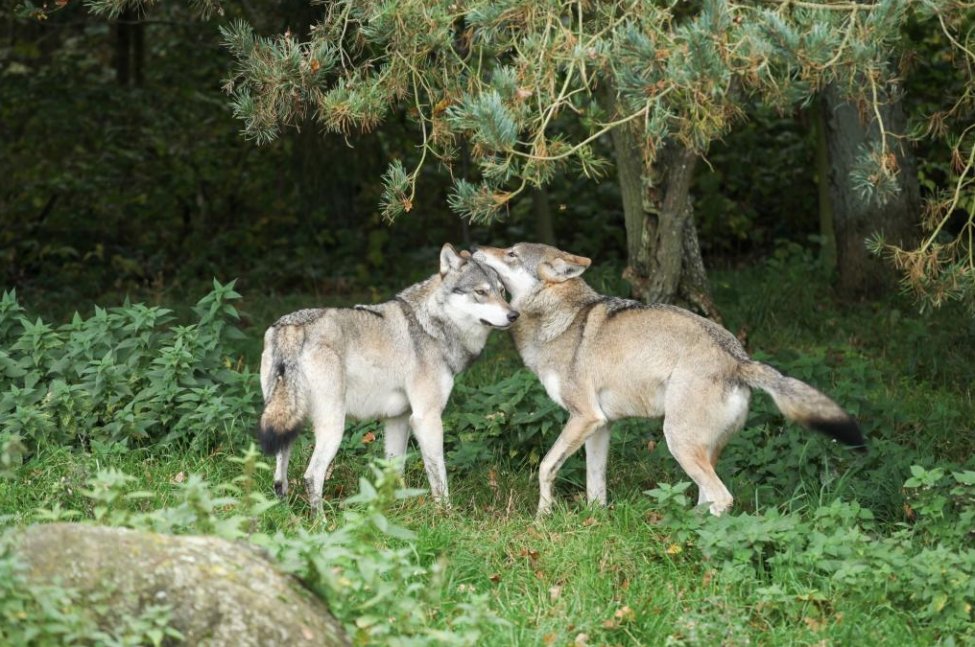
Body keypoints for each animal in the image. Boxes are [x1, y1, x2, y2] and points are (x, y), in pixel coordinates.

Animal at [260, 244, 520, 516]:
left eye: (502, 291)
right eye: (481, 292)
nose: (515, 315)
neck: (432, 326)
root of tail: (290, 327)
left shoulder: (398, 418)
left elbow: (394, 470)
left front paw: (396, 510)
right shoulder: (426, 418)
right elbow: (439, 478)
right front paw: (446, 515)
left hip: (287, 424)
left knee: (280, 478)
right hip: (333, 427)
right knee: (311, 476)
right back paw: (320, 521)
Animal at [476, 242, 864, 516]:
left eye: (511, 253)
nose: (478, 248)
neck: (557, 316)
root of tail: (739, 359)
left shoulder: (583, 417)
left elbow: (545, 467)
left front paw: (542, 518)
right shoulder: (600, 425)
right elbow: (595, 487)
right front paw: (594, 522)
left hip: (678, 441)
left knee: (722, 498)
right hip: (700, 450)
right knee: (706, 497)